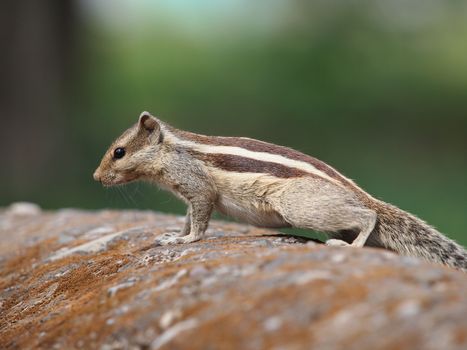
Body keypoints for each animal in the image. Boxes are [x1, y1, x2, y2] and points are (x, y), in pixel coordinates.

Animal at [94, 112, 467, 270]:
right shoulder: (188, 194)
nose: (96, 177)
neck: (172, 150)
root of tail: (359, 193)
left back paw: (352, 244)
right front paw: (174, 234)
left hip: (301, 206)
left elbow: (199, 221)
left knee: (368, 215)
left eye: (119, 152)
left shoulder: (198, 189)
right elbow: (188, 218)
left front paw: (185, 241)